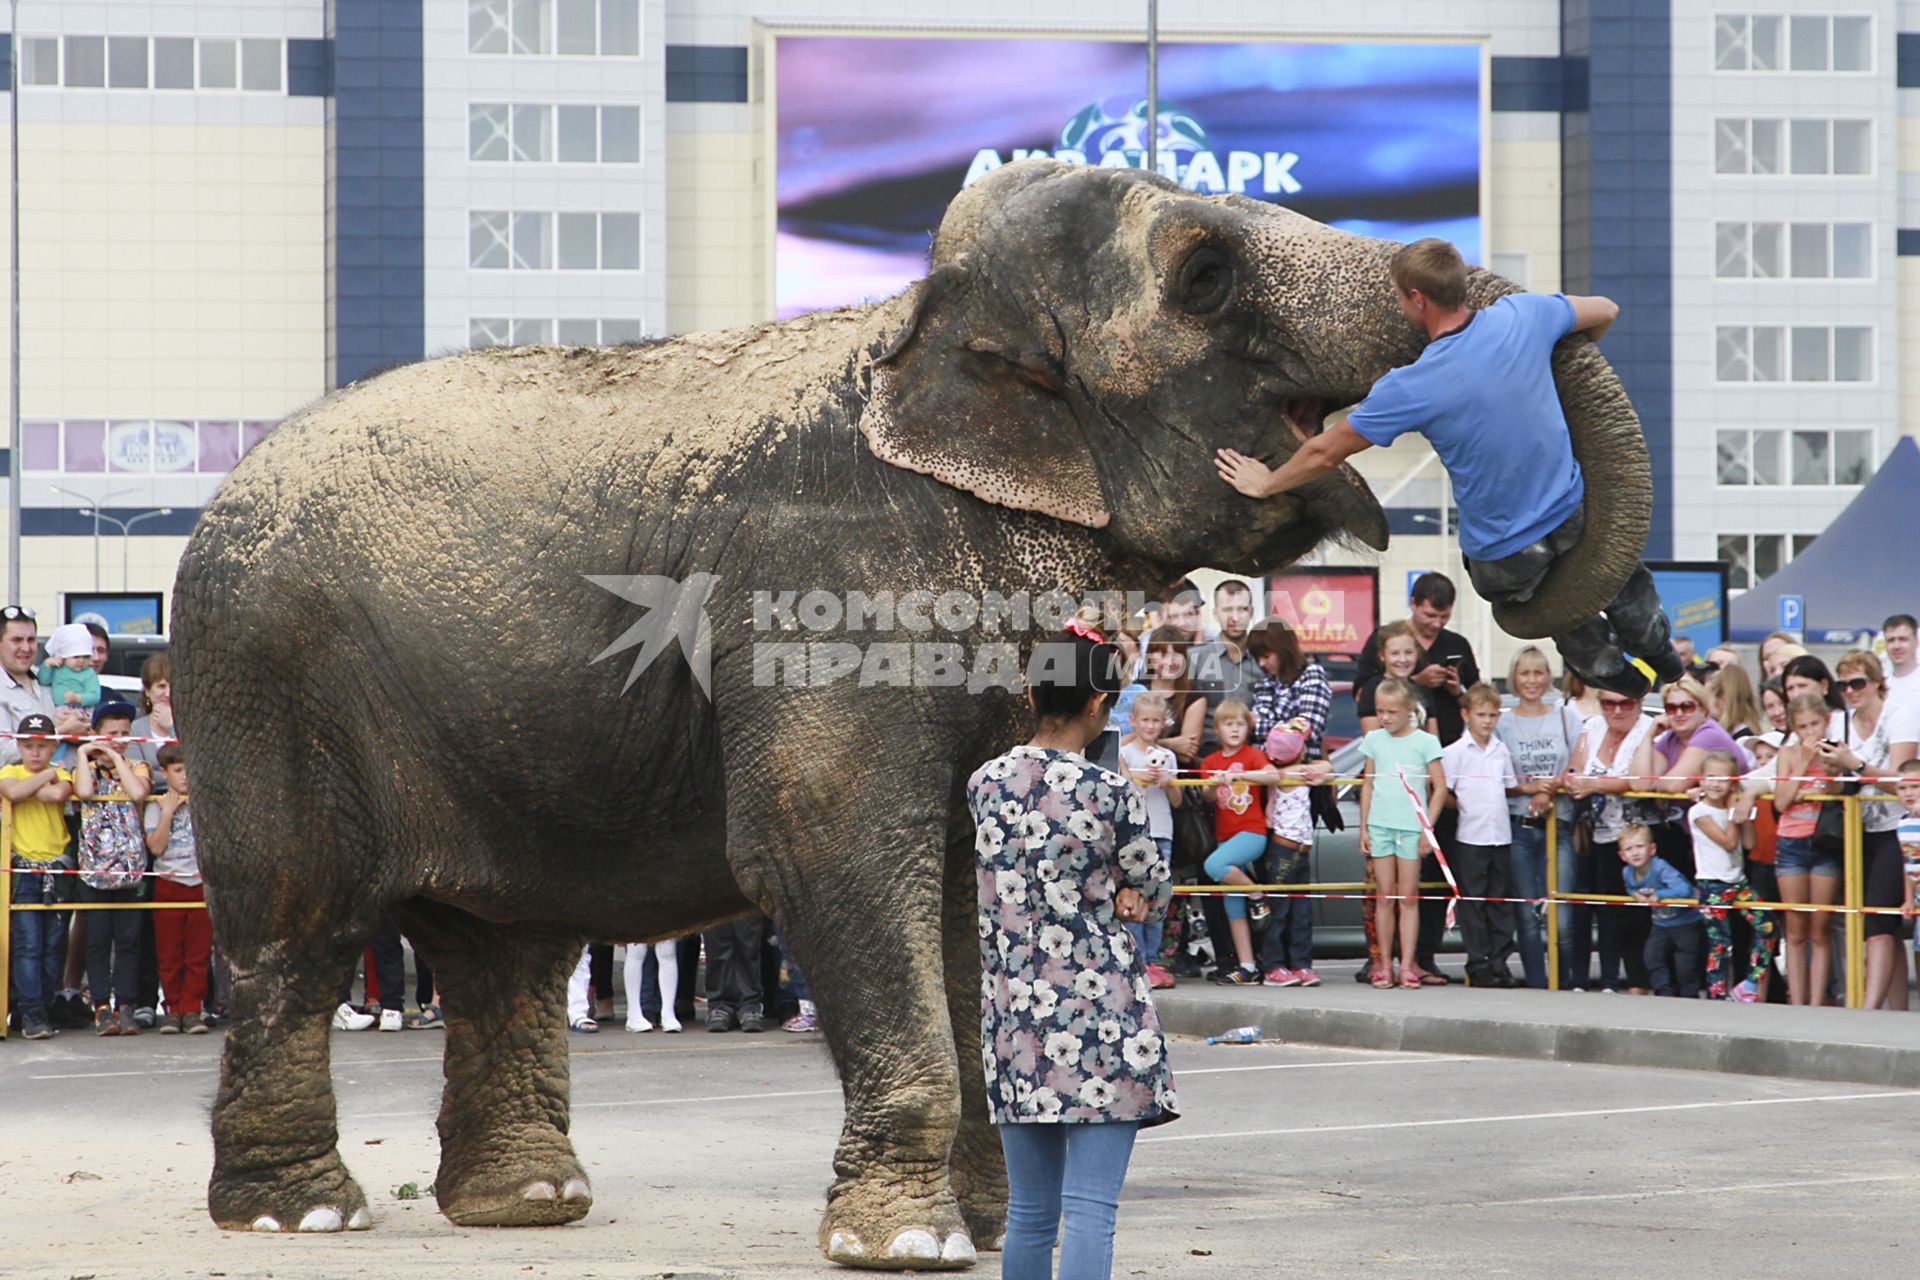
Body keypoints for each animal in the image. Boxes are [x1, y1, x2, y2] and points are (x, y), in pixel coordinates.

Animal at [172, 155, 1658, 1266]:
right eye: (1204, 274)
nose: (1557, 602)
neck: (914, 319)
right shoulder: (822, 581)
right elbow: (829, 842)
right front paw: (911, 1245)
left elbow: (961, 881)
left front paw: (998, 1226)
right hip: (261, 676)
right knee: (303, 925)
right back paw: (305, 1214)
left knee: (503, 951)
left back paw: (528, 1208)